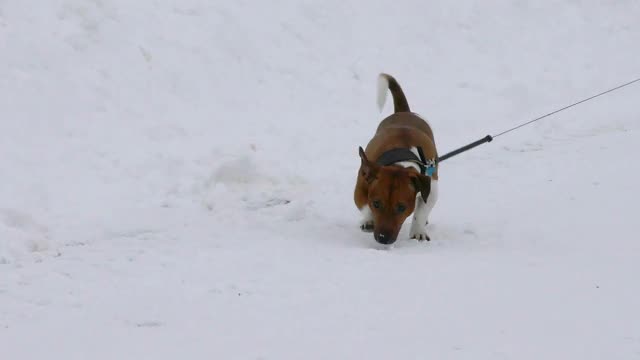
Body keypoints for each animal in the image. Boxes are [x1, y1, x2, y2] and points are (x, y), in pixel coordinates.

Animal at [352, 73, 438, 245]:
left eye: (402, 207)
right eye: (376, 203)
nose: (383, 238)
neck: (401, 161)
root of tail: (404, 112)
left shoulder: (432, 186)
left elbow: (422, 210)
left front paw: (418, 232)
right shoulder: (361, 186)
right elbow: (364, 205)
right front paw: (369, 220)